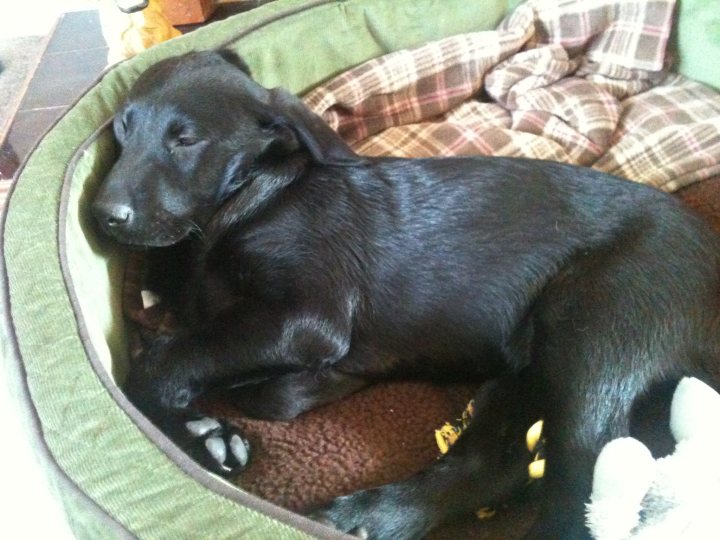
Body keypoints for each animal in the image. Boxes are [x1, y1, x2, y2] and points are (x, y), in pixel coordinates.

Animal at [91, 49, 720, 536]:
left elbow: (164, 360)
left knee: (584, 477)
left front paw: (205, 430)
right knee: (493, 464)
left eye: (185, 140)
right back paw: (364, 519)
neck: (249, 200)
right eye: (122, 131)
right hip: (528, 368)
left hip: (597, 326)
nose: (103, 215)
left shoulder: (307, 316)